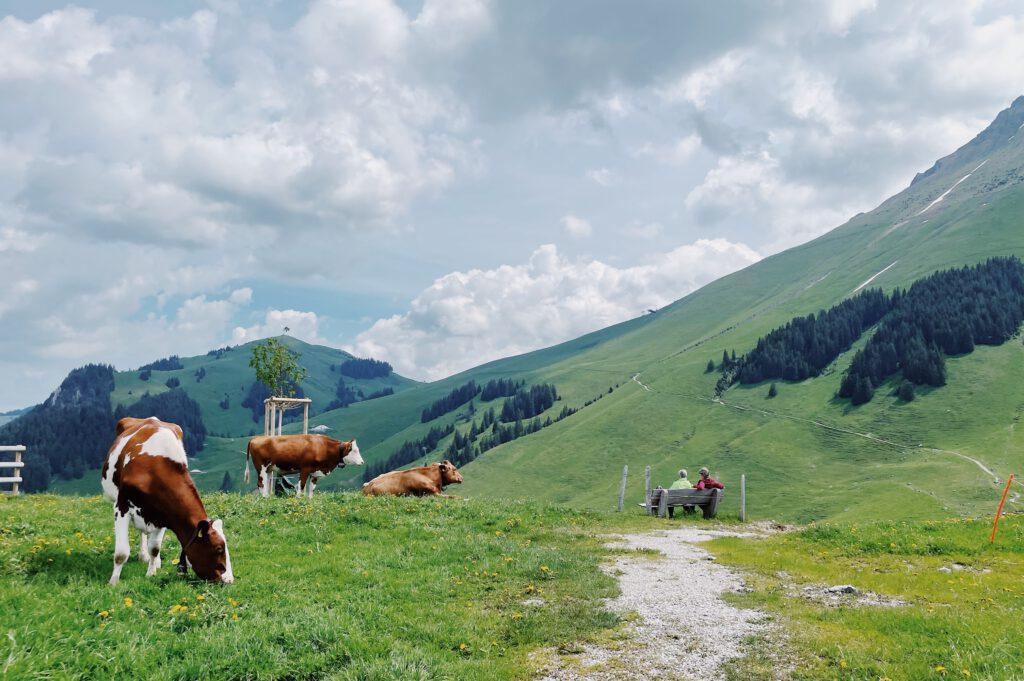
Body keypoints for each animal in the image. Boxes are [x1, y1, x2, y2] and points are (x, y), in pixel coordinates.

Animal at [100, 413, 234, 585]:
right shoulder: (121, 506)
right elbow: (121, 553)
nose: (229, 580)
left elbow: (155, 548)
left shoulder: (164, 514)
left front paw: (151, 573)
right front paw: (113, 582)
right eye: (218, 548)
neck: (153, 470)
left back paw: (153, 561)